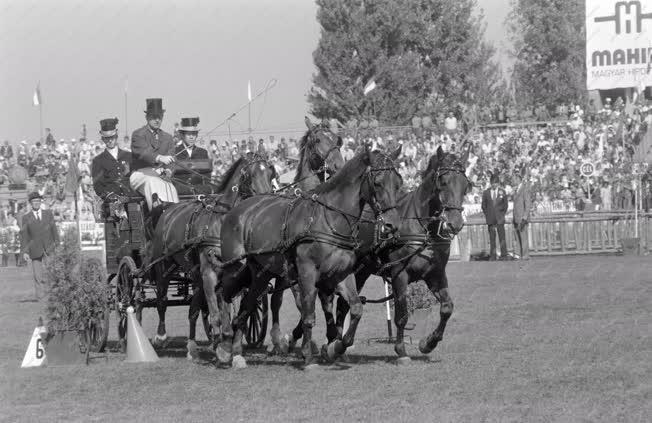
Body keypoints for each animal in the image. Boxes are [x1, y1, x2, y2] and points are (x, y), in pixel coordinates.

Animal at [143, 153, 278, 358]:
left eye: (271, 173)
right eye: (250, 174)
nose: (265, 199)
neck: (223, 222)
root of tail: (168, 208)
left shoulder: (231, 272)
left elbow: (228, 306)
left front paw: (225, 340)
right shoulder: (209, 272)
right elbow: (216, 313)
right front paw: (219, 342)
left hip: (194, 273)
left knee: (193, 309)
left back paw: (192, 346)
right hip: (164, 266)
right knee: (162, 300)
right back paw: (161, 336)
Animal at [219, 145, 402, 368]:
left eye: (398, 183)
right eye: (377, 182)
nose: (392, 225)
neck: (329, 219)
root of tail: (237, 210)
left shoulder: (341, 274)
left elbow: (356, 308)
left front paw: (335, 347)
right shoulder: (307, 273)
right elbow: (308, 314)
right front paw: (308, 356)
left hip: (262, 273)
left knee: (247, 304)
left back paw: (236, 352)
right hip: (234, 268)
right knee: (223, 295)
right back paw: (223, 345)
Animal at [336, 147, 468, 364]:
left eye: (466, 185)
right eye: (443, 181)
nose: (455, 223)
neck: (423, 229)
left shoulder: (436, 274)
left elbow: (447, 308)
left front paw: (428, 343)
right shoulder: (400, 274)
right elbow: (402, 316)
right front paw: (401, 351)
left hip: (361, 272)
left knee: (343, 304)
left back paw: (338, 344)